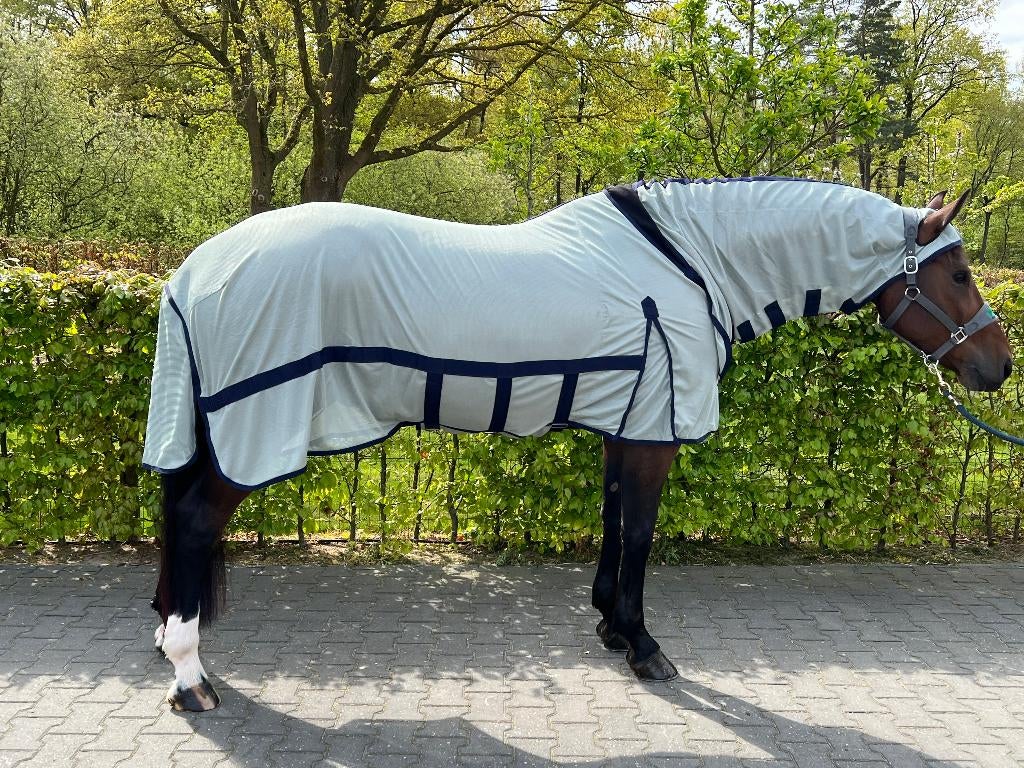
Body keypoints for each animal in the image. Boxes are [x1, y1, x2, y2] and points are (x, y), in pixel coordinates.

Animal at [142, 178, 1012, 711]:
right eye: (960, 273)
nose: (999, 367)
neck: (692, 264)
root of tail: (193, 273)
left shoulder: (627, 426)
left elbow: (613, 523)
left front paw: (609, 627)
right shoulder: (657, 431)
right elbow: (641, 534)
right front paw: (645, 647)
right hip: (248, 436)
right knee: (194, 521)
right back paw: (191, 677)